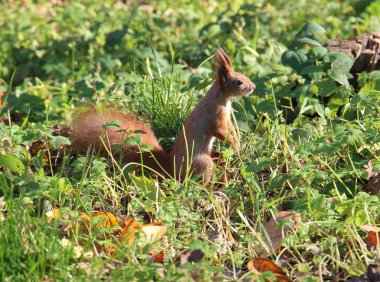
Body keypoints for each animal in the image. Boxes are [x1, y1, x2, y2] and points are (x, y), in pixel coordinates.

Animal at [71, 49, 255, 182]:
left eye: (244, 75)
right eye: (239, 82)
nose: (253, 87)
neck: (222, 98)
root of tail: (171, 168)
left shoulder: (226, 117)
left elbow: (230, 129)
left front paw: (238, 141)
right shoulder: (215, 115)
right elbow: (221, 131)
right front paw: (236, 145)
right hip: (202, 162)